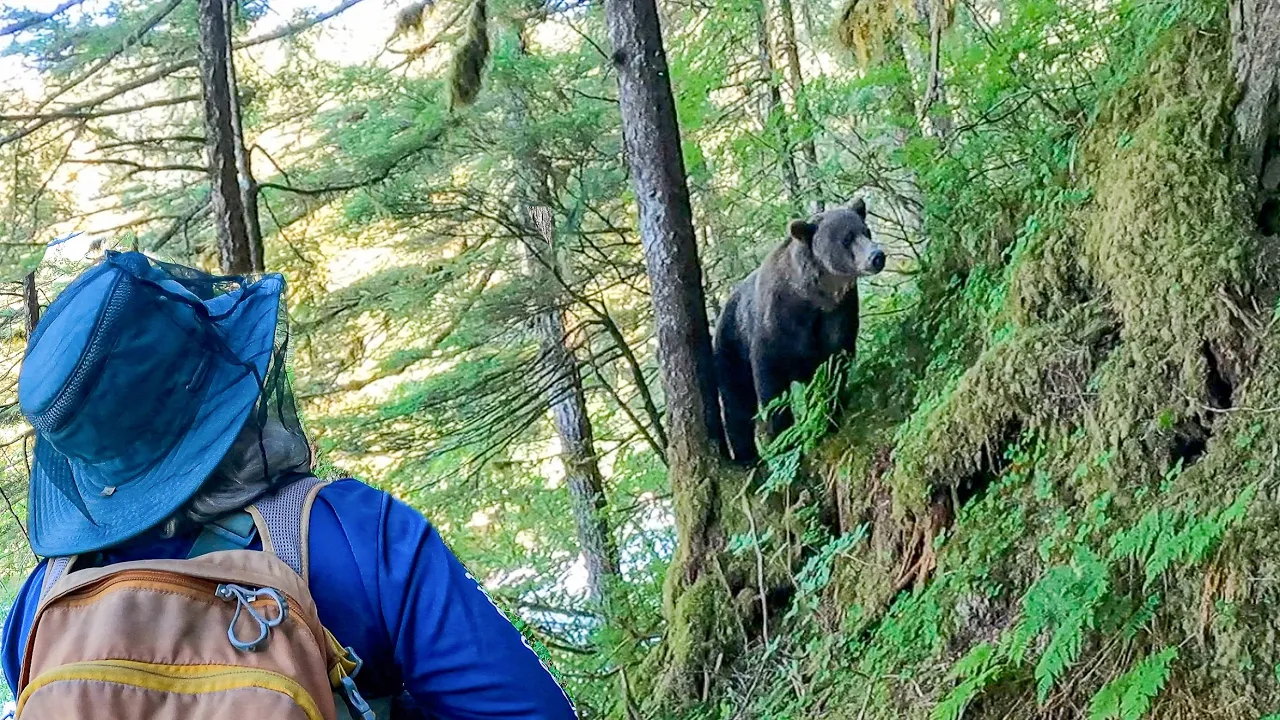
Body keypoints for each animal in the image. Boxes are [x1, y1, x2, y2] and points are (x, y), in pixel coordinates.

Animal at [716, 198, 885, 461]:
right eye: (846, 238)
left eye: (866, 231)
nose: (877, 256)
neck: (812, 298)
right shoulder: (775, 328)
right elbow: (771, 387)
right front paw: (782, 439)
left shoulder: (838, 313)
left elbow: (834, 364)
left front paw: (830, 413)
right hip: (731, 344)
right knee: (737, 400)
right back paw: (746, 456)